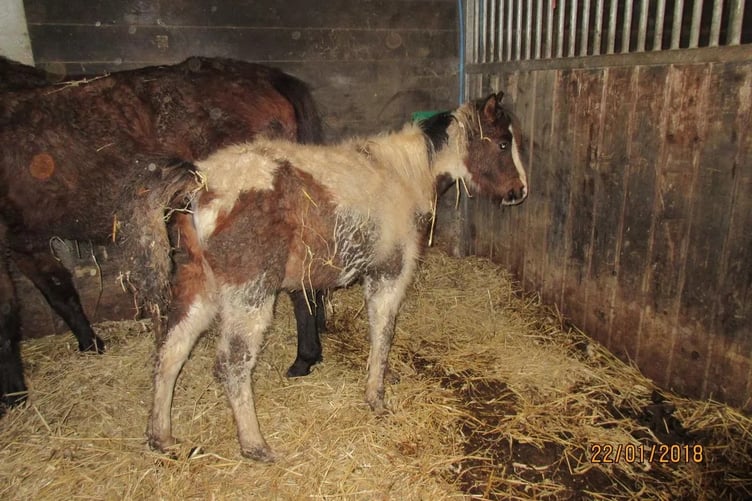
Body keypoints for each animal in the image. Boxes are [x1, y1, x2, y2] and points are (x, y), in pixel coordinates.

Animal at [0, 57, 326, 415]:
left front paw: (13, 395)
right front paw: (91, 344)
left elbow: (6, 317)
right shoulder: (25, 242)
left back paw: (304, 358)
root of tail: (267, 77)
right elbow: (60, 293)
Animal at [147, 91, 528, 461]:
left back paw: (162, 438)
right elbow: (383, 332)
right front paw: (376, 397)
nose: (519, 191)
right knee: (232, 363)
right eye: (502, 144)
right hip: (249, 293)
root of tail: (200, 183)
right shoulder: (389, 272)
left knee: (172, 349)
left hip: (200, 285)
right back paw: (255, 445)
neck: (403, 175)